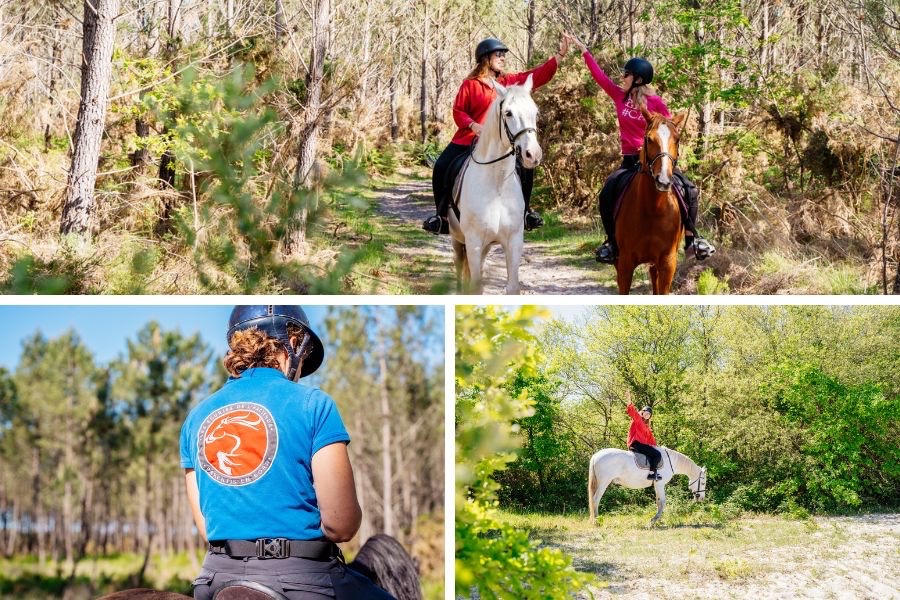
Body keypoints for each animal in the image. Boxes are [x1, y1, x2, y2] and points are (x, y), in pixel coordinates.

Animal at [450, 74, 540, 294]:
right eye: (508, 113)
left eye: (535, 112)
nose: (533, 155)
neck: (497, 185)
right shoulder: (473, 242)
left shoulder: (514, 241)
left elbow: (513, 287)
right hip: (457, 239)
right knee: (459, 265)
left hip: (486, 245)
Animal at [616, 108, 684, 298]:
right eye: (648, 139)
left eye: (677, 139)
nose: (663, 180)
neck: (654, 209)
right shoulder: (624, 263)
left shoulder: (668, 262)